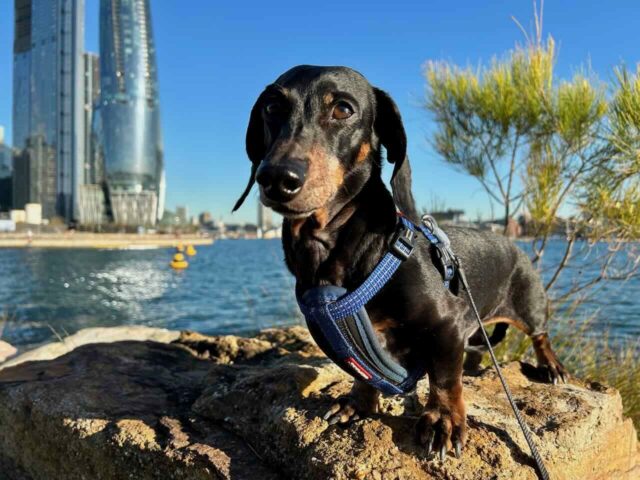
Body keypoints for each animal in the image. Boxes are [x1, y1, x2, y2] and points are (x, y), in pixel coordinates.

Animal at [235, 65, 568, 460]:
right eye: (272, 108)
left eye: (343, 109)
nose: (276, 177)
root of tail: (513, 244)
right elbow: (364, 372)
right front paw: (358, 403)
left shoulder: (449, 327)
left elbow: (444, 378)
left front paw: (443, 419)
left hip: (531, 306)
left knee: (540, 335)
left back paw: (552, 366)